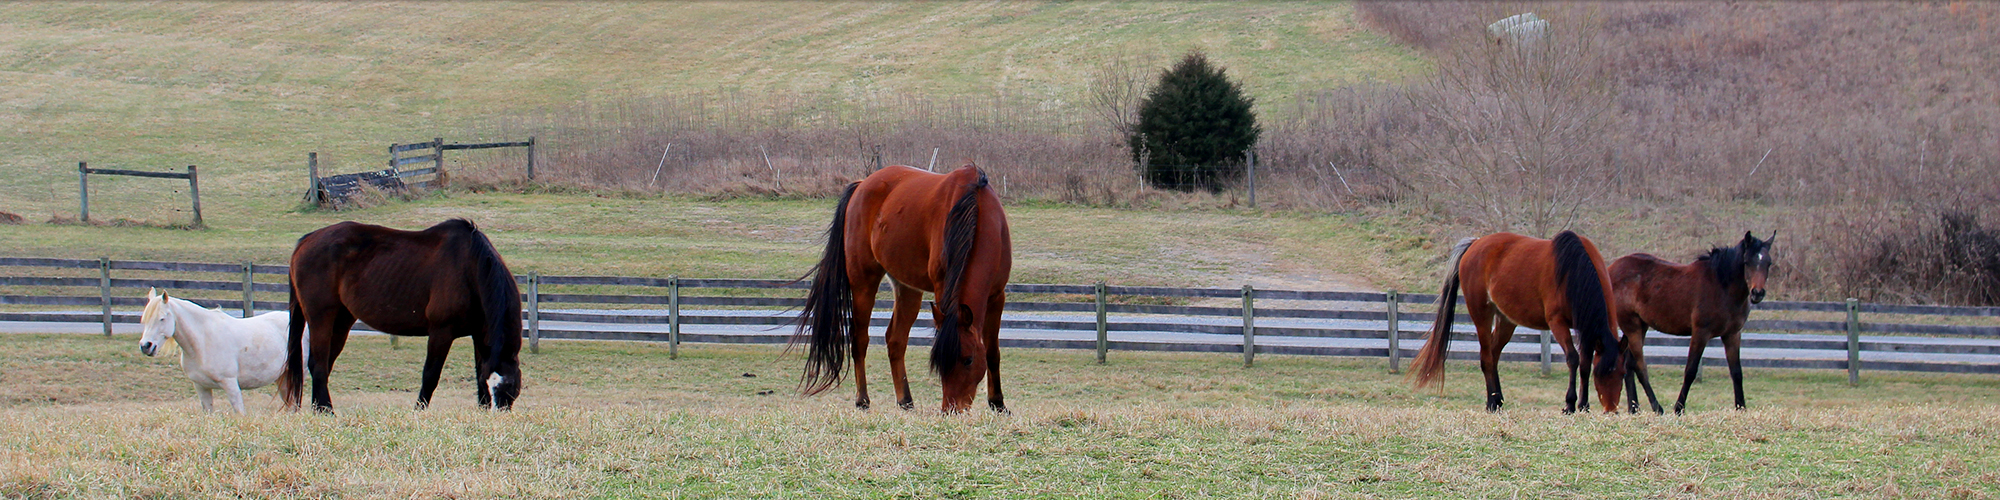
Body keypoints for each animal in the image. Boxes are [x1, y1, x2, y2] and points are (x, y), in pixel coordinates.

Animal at [137, 288, 302, 412]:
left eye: (162, 318)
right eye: (145, 320)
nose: (146, 346)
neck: (202, 343)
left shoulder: (230, 384)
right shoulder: (201, 387)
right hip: (283, 377)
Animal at [286, 220, 532, 414]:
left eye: (511, 386)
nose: (498, 414)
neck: (470, 268)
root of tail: (306, 240)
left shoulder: (478, 334)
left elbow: (479, 370)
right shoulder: (441, 332)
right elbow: (430, 375)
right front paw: (419, 410)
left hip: (342, 321)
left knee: (324, 364)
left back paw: (319, 409)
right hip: (321, 318)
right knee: (317, 363)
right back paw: (326, 410)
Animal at [792, 164, 1016, 414]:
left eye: (968, 360)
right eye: (939, 362)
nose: (950, 409)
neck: (977, 210)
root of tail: (862, 185)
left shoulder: (997, 296)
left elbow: (992, 351)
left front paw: (998, 403)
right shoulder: (943, 290)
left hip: (907, 289)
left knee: (895, 340)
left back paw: (905, 400)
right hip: (863, 283)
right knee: (860, 339)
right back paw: (862, 400)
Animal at [1408, 232, 1624, 412]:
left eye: (1622, 373)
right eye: (1604, 373)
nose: (1611, 409)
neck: (1574, 271)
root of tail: (1476, 243)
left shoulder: (1586, 328)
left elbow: (1585, 364)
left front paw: (1584, 405)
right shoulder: (1557, 323)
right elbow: (1573, 359)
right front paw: (1570, 404)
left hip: (1506, 321)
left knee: (1494, 355)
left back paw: (1498, 399)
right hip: (1481, 314)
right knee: (1486, 357)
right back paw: (1491, 403)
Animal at [1608, 230, 1784, 414]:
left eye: (1768, 263)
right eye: (1746, 262)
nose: (1757, 293)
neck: (1722, 287)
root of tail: (1611, 269)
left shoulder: (1732, 334)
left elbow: (1736, 372)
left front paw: (1741, 408)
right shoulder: (1701, 333)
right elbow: (1690, 371)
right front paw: (1679, 408)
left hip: (1641, 325)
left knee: (1629, 365)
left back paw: (1634, 408)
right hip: (1631, 326)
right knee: (1640, 366)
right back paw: (1657, 408)